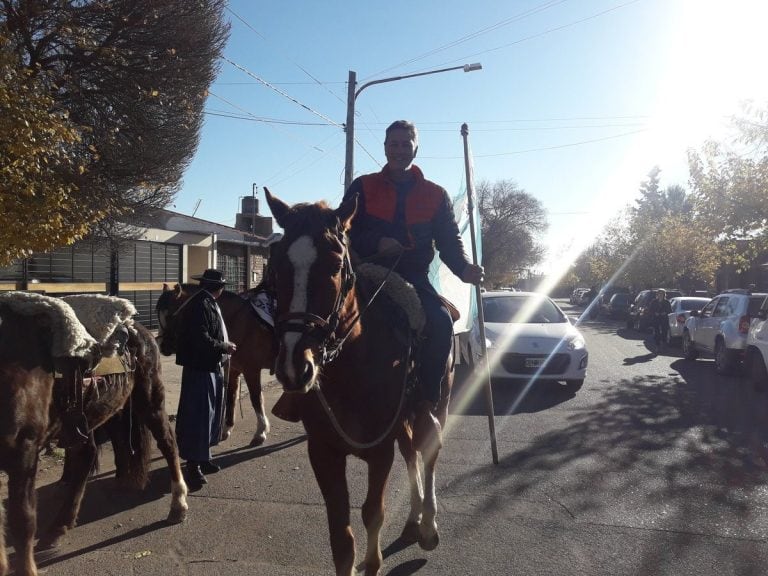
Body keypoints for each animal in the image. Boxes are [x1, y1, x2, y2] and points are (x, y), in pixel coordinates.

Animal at [1, 296, 188, 576]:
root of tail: (138, 329)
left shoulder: (24, 449)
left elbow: (21, 520)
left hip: (149, 399)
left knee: (167, 443)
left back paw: (178, 505)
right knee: (87, 455)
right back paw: (61, 525)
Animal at [156, 284, 276, 446]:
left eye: (170, 316)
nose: (163, 346)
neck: (240, 321)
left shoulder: (252, 370)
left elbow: (256, 398)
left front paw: (261, 432)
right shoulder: (234, 369)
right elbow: (231, 397)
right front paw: (226, 429)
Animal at [266, 189, 450, 576]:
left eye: (336, 266)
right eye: (276, 267)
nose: (294, 366)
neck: (351, 367)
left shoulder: (379, 451)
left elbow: (372, 513)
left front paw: (374, 560)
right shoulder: (323, 450)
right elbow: (340, 534)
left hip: (435, 404)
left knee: (429, 450)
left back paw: (428, 526)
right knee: (412, 452)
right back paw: (413, 520)